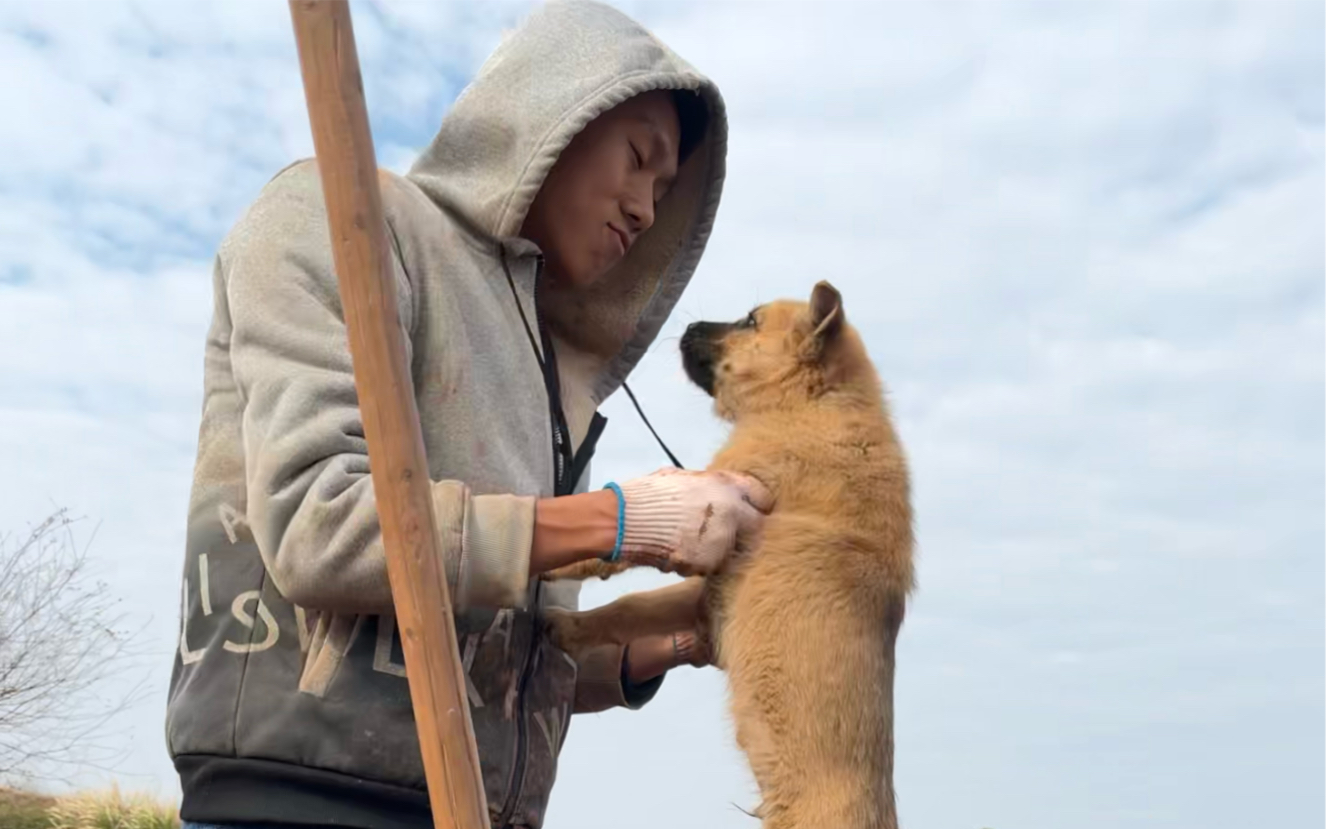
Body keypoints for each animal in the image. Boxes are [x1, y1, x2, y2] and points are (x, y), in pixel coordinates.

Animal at [546, 281, 912, 822]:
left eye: (750, 321)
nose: (691, 325)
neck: (815, 401)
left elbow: (622, 549)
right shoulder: (706, 591)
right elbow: (628, 608)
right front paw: (567, 628)